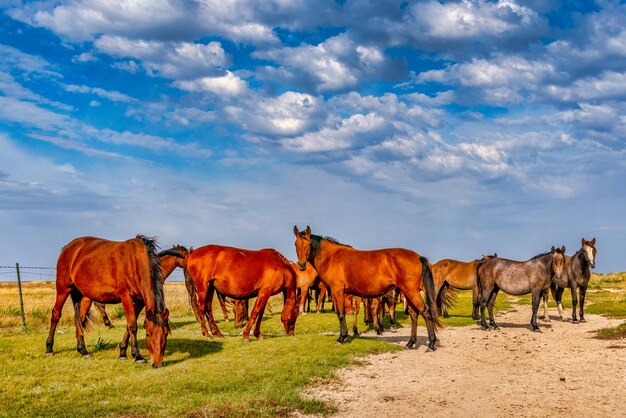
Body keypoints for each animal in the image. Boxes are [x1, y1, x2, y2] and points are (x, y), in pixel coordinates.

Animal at [45, 237, 171, 368]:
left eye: (166, 333)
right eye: (148, 334)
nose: (157, 363)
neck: (136, 262)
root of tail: (68, 247)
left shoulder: (140, 301)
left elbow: (130, 324)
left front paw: (122, 352)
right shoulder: (126, 297)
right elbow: (132, 326)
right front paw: (137, 355)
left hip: (79, 293)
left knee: (78, 319)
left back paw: (83, 350)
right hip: (63, 288)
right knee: (56, 314)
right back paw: (49, 348)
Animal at [294, 225, 442, 350]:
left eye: (308, 244)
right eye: (296, 244)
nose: (301, 265)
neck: (332, 257)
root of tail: (418, 257)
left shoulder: (337, 290)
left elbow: (340, 313)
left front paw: (342, 337)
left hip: (411, 291)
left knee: (425, 311)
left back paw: (431, 343)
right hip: (407, 292)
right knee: (414, 314)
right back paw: (410, 343)